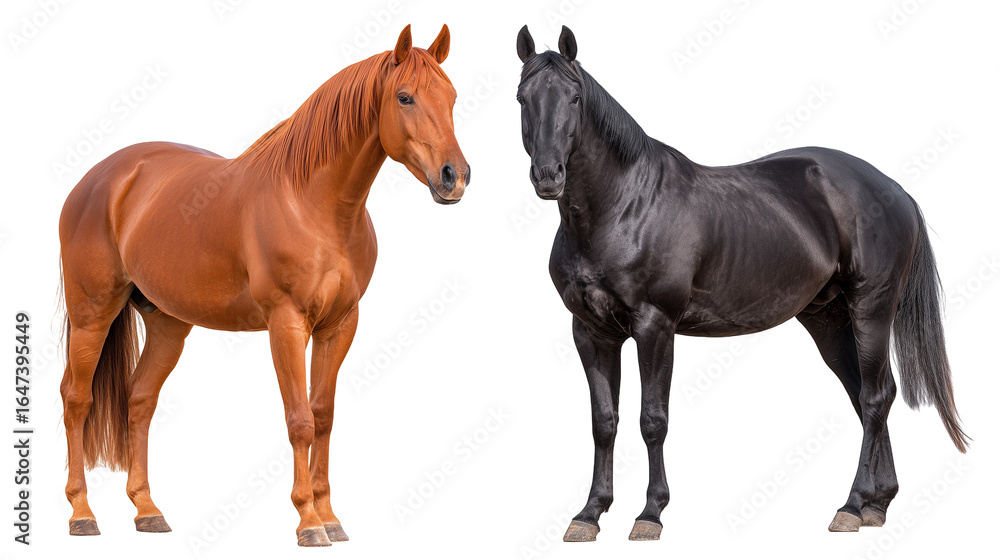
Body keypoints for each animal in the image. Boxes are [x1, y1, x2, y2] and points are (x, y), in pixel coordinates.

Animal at [58, 24, 470, 547]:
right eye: (405, 97)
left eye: (451, 97)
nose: (455, 178)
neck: (314, 205)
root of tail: (98, 180)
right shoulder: (286, 324)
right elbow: (299, 421)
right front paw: (308, 522)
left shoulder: (340, 325)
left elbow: (323, 416)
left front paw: (330, 517)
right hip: (92, 313)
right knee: (77, 399)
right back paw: (81, 513)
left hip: (169, 324)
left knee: (139, 400)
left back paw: (148, 510)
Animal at [515, 25, 968, 542]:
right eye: (523, 98)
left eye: (574, 98)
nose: (548, 176)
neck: (624, 206)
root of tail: (895, 190)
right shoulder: (592, 332)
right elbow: (603, 422)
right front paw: (589, 514)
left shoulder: (655, 326)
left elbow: (653, 420)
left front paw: (650, 514)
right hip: (829, 321)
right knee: (868, 394)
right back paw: (878, 504)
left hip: (871, 309)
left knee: (875, 398)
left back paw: (851, 507)